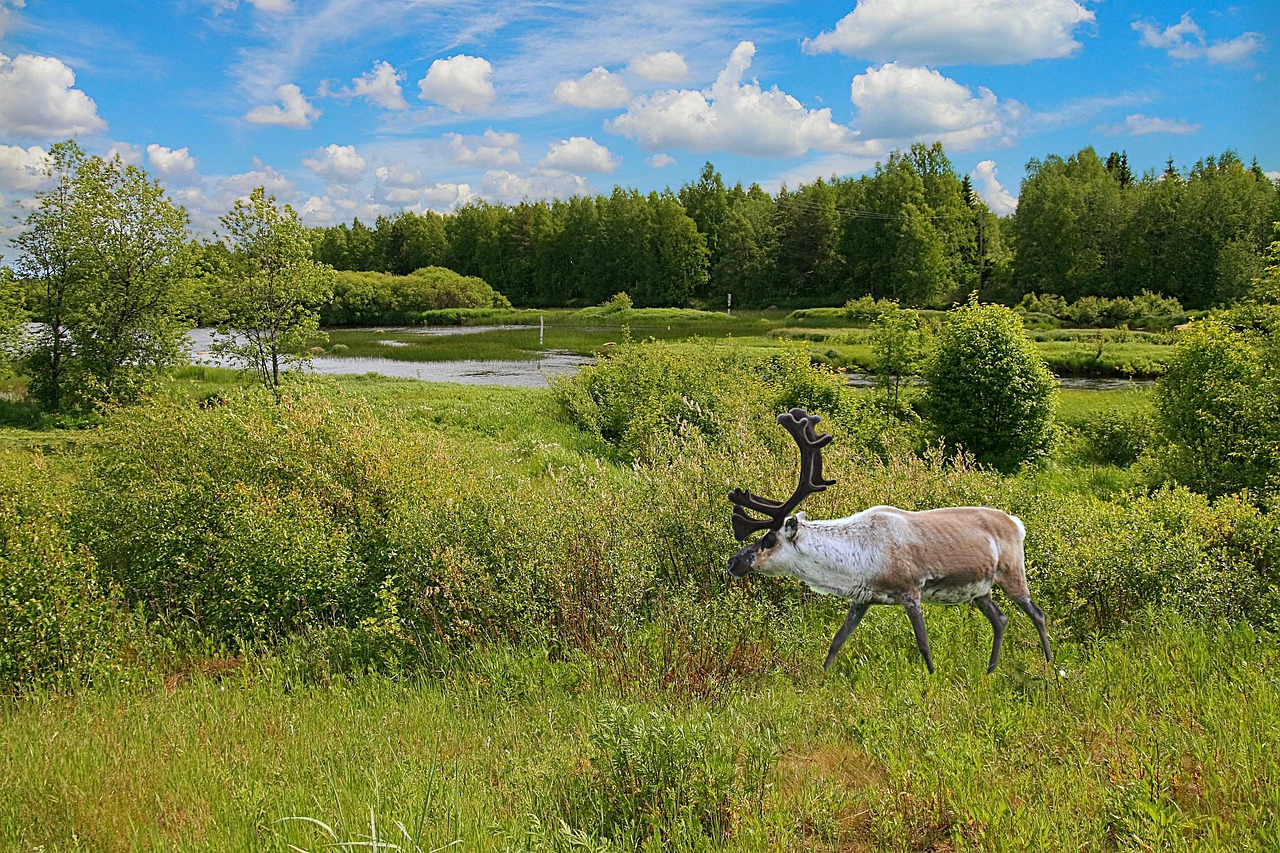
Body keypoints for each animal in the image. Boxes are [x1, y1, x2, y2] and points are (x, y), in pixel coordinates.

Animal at [726, 408, 1052, 675]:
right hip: (980, 590)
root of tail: (1017, 523)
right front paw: (822, 676)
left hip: (1011, 572)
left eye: (769, 539)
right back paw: (991, 669)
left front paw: (931, 678)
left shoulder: (910, 589)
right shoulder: (861, 599)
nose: (733, 561)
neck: (856, 561)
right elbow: (837, 641)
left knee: (1037, 613)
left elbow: (924, 645)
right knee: (1000, 619)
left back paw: (1049, 663)